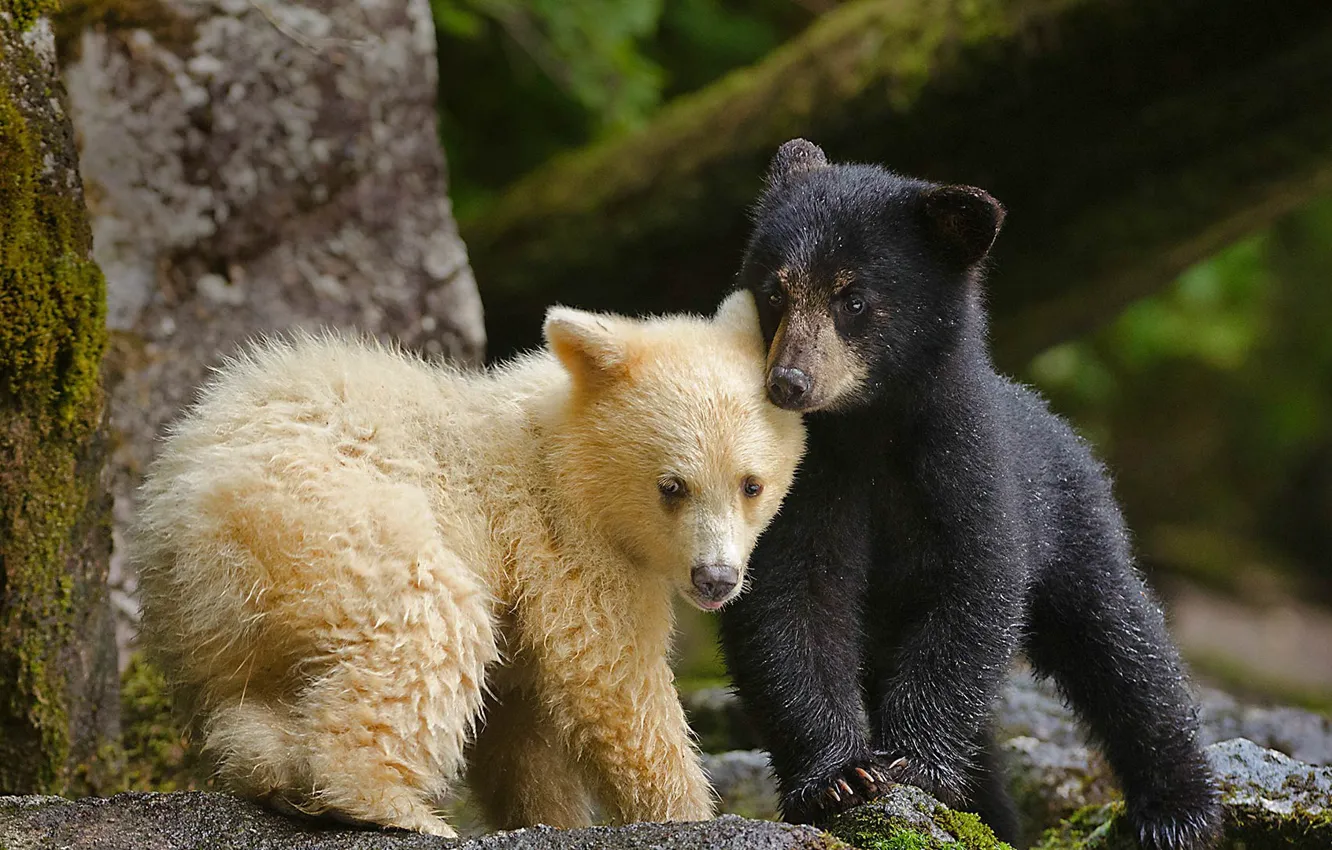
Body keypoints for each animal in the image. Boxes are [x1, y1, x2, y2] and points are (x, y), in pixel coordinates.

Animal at [132, 291, 806, 837]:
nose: (715, 578)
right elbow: (612, 677)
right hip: (325, 521)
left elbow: (519, 729)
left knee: (248, 701)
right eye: (672, 486)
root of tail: (175, 521)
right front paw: (686, 812)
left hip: (232, 622)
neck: (563, 452)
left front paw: (548, 816)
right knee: (429, 621)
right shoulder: (565, 542)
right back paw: (393, 805)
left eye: (751, 484)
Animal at [717, 140, 1221, 850]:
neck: (868, 428)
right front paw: (839, 778)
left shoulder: (969, 467)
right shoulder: (799, 483)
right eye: (773, 292)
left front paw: (913, 764)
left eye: (853, 299)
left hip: (1076, 524)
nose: (789, 382)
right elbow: (788, 601)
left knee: (1123, 646)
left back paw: (1177, 810)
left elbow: (972, 587)